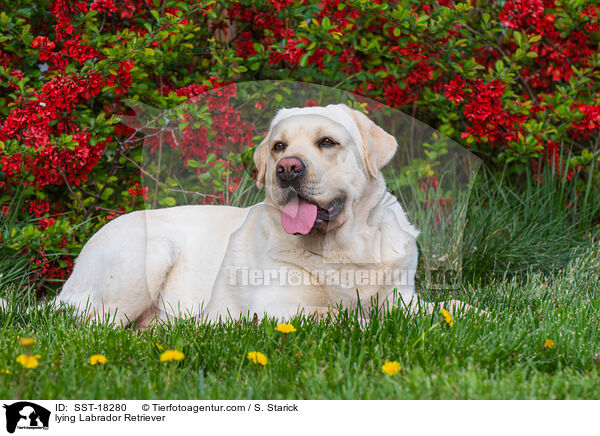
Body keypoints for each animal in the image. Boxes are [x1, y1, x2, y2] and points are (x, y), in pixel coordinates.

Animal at [1, 104, 450, 326]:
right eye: (278, 146)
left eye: (327, 142)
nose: (287, 168)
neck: (344, 250)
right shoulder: (276, 308)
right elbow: (347, 316)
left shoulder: (404, 297)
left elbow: (453, 308)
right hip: (147, 253)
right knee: (93, 329)